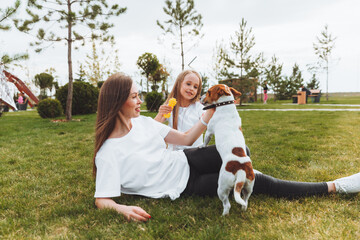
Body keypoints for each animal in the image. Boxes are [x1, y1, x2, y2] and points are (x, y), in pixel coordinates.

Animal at [201, 84, 255, 216]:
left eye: (208, 92)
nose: (200, 97)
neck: (226, 105)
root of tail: (240, 169)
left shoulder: (209, 131)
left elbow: (205, 141)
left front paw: (201, 146)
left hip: (222, 187)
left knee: (227, 204)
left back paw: (223, 215)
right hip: (249, 187)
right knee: (245, 201)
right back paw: (243, 209)